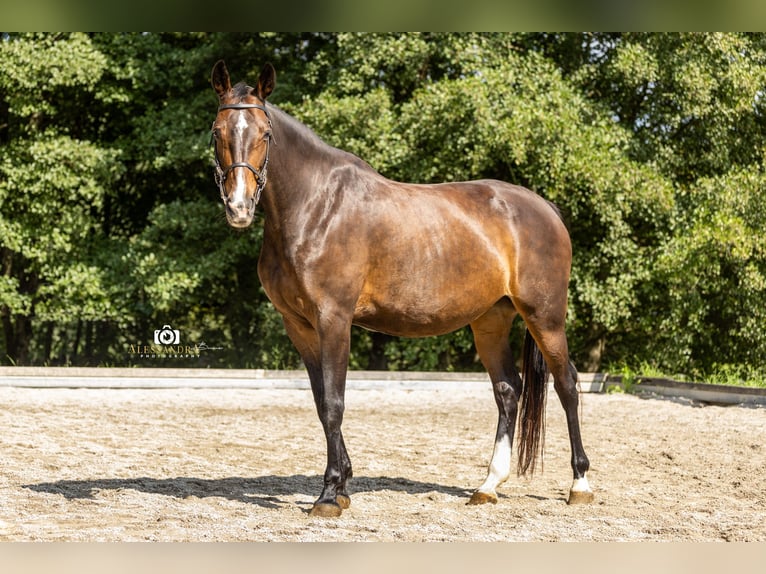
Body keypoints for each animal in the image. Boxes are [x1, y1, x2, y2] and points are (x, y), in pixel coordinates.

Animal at [210, 60, 593, 517]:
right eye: (217, 131)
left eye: (265, 134)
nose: (238, 207)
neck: (316, 205)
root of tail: (544, 208)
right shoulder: (298, 326)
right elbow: (322, 404)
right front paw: (343, 484)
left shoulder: (334, 319)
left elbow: (335, 403)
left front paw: (329, 494)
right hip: (491, 321)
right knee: (508, 391)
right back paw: (488, 485)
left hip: (544, 316)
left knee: (567, 384)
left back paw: (580, 484)